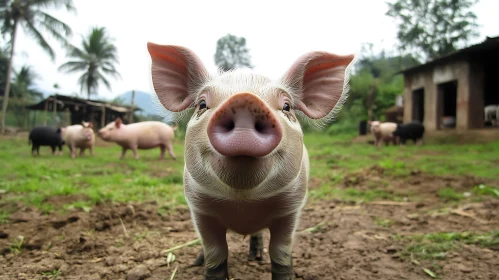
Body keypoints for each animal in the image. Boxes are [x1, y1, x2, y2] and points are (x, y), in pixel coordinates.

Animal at [147, 42, 356, 280]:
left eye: (286, 106)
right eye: (202, 104)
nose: (244, 100)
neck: (244, 202)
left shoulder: (291, 208)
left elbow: (281, 252)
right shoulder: (199, 208)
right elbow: (215, 252)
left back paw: (255, 258)